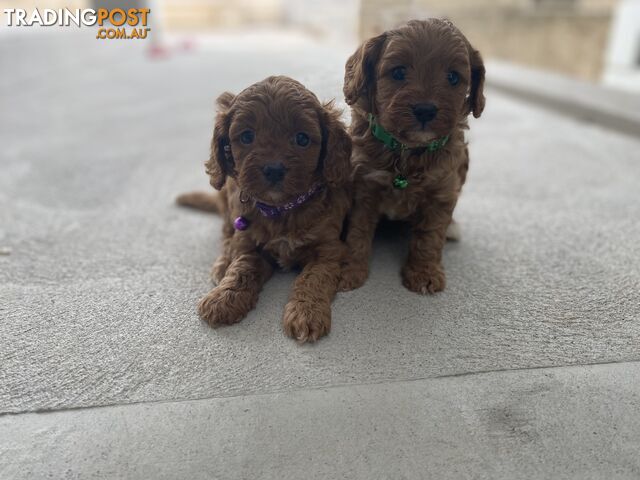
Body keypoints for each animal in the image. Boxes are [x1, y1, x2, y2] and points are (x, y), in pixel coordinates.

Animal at [178, 76, 352, 342]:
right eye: (247, 136)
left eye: (302, 139)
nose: (273, 169)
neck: (281, 209)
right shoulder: (248, 241)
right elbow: (241, 268)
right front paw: (223, 299)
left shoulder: (329, 249)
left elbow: (313, 278)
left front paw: (307, 312)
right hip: (226, 198)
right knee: (226, 233)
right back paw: (222, 263)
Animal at [340, 19, 484, 292]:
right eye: (398, 72)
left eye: (453, 77)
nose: (425, 110)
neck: (406, 151)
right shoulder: (364, 185)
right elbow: (358, 231)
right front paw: (349, 270)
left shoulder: (441, 191)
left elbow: (429, 236)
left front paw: (424, 273)